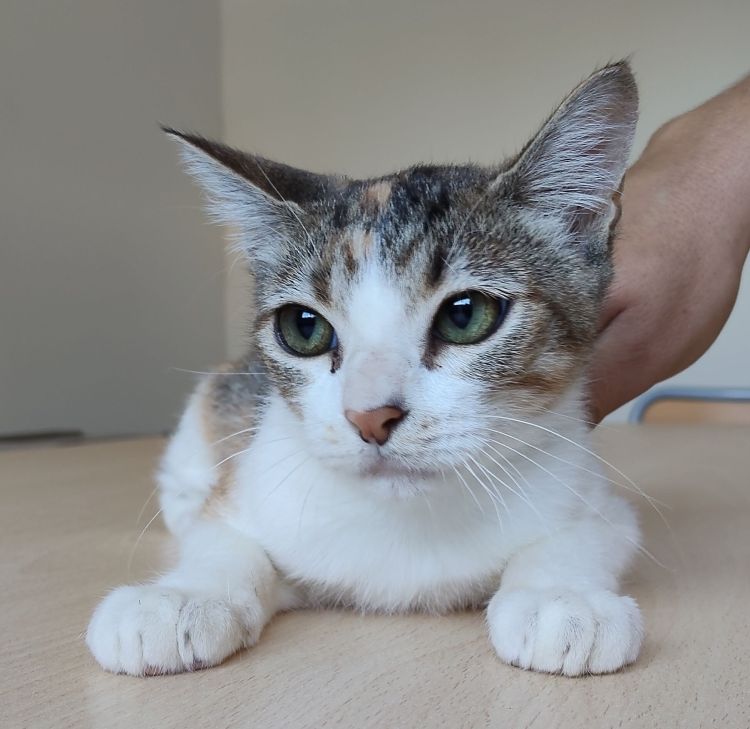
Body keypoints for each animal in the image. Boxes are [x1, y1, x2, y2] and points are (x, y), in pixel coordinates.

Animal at [87, 61, 644, 677]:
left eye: (465, 315)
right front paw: (181, 598)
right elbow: (225, 541)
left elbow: (580, 537)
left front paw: (561, 599)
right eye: (303, 327)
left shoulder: (598, 499)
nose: (370, 416)